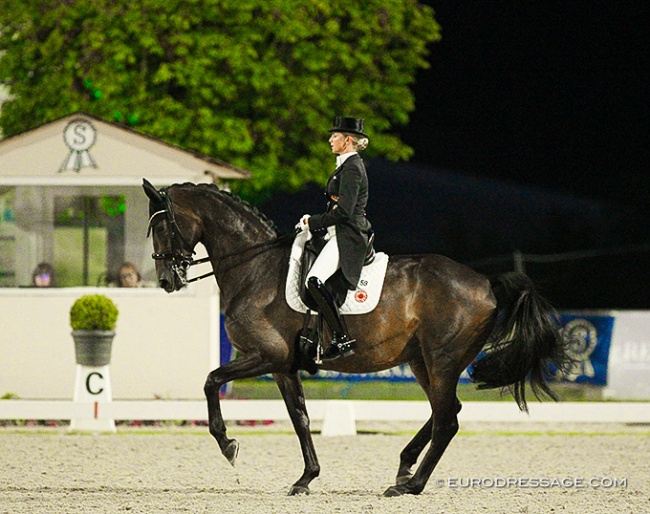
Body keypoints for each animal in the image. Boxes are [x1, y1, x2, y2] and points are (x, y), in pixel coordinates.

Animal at [143, 180, 568, 496]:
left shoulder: (266, 355)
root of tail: (486, 283)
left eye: (161, 226)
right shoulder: (283, 366)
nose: (166, 281)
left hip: (442, 360)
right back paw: (404, 467)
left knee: (448, 420)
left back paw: (410, 485)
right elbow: (299, 416)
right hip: (422, 361)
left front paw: (229, 445)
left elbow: (211, 380)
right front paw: (306, 478)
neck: (255, 267)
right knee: (445, 411)